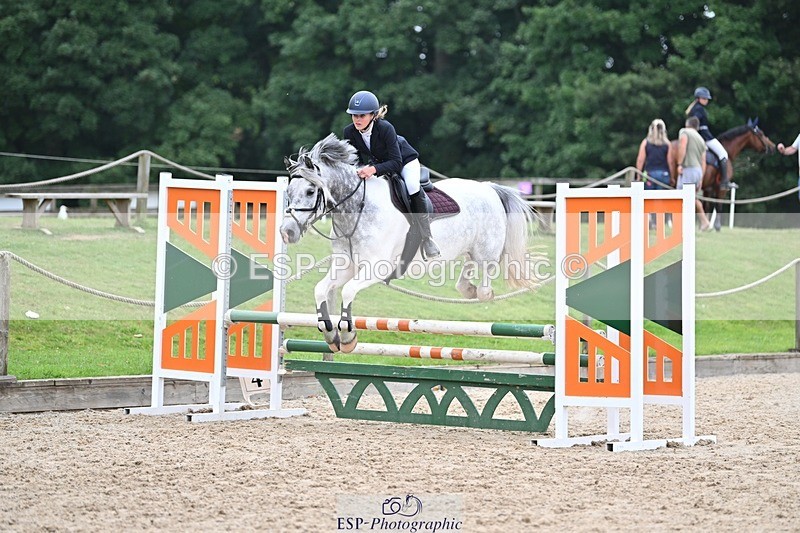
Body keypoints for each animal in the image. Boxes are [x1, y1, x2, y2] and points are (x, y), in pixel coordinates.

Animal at [280, 133, 538, 353]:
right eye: (289, 192)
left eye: (310, 191)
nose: (286, 232)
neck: (358, 209)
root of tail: (488, 187)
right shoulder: (347, 266)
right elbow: (320, 289)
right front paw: (330, 336)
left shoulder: (377, 268)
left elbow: (348, 291)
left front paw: (347, 338)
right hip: (467, 247)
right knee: (468, 267)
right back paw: (468, 289)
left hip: (487, 249)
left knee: (485, 278)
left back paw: (480, 291)